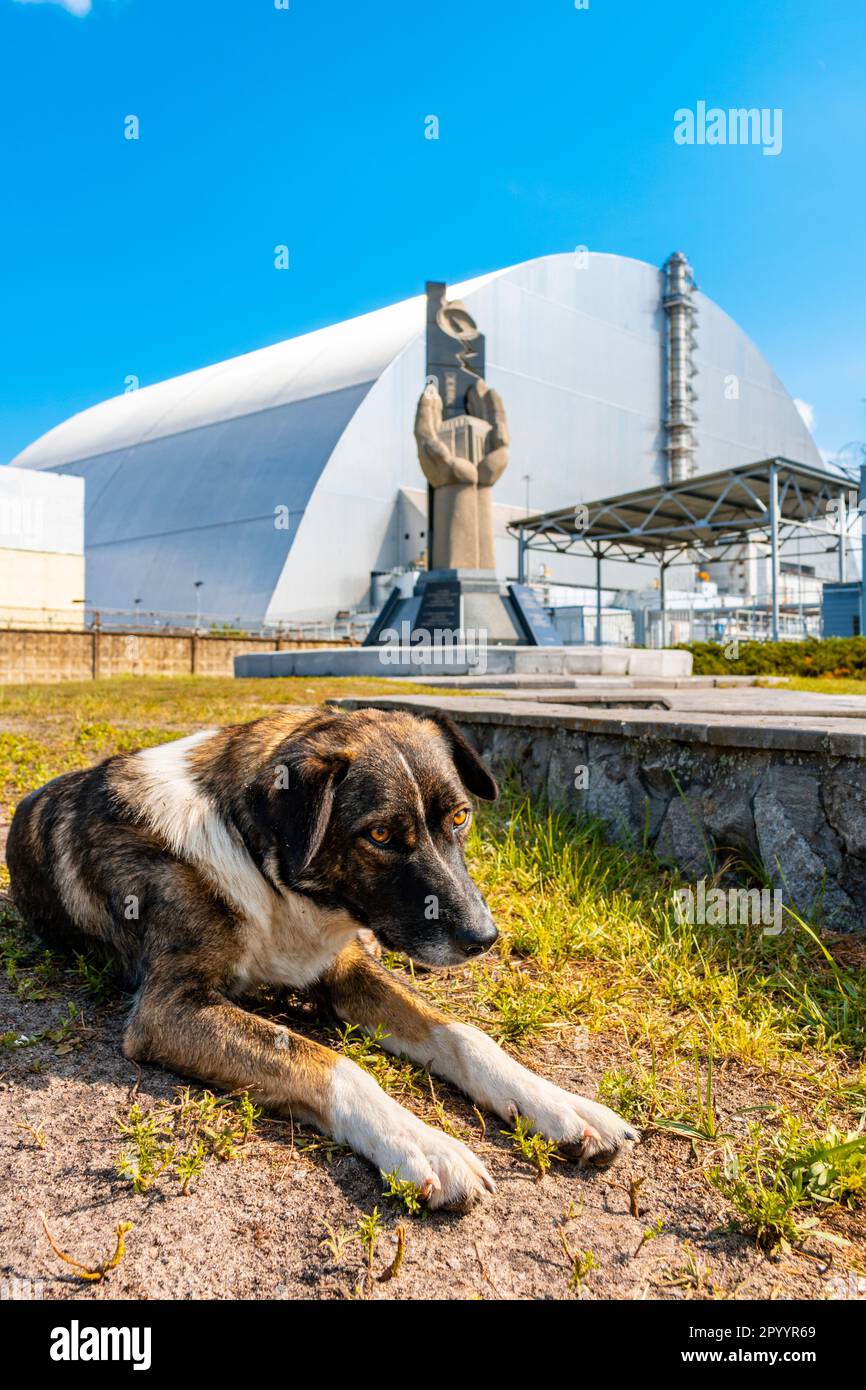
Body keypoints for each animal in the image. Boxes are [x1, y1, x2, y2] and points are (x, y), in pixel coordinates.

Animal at [6, 706, 636, 1206]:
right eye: (380, 835)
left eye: (460, 817)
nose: (484, 938)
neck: (259, 866)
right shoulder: (168, 1010)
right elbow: (330, 1062)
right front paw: (424, 1144)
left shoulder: (345, 970)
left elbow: (462, 1035)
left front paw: (559, 1104)